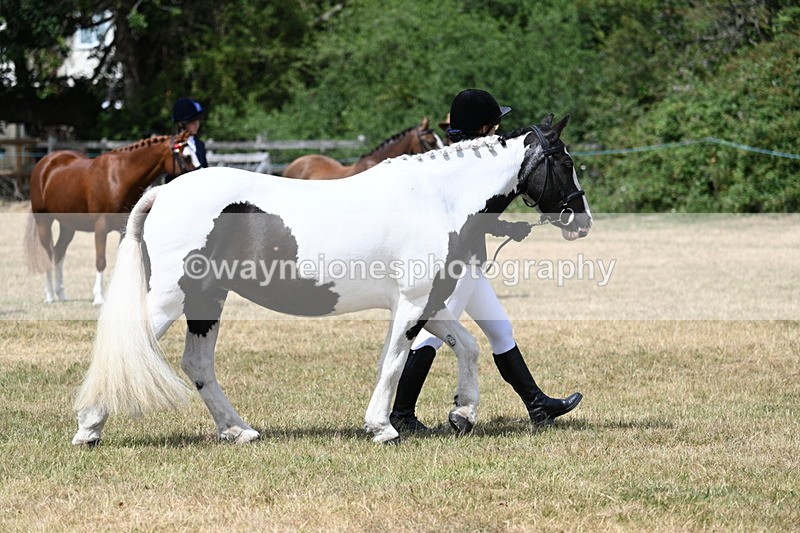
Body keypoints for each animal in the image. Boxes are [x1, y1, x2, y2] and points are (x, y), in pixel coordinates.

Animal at [23, 132, 198, 305]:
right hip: (44, 222)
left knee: (59, 252)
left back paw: (61, 294)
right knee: (48, 254)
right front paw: (98, 297)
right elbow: (101, 261)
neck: (118, 178)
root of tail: (44, 164)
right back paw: (49, 295)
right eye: (187, 156)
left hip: (68, 226)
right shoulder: (101, 227)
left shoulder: (123, 228)